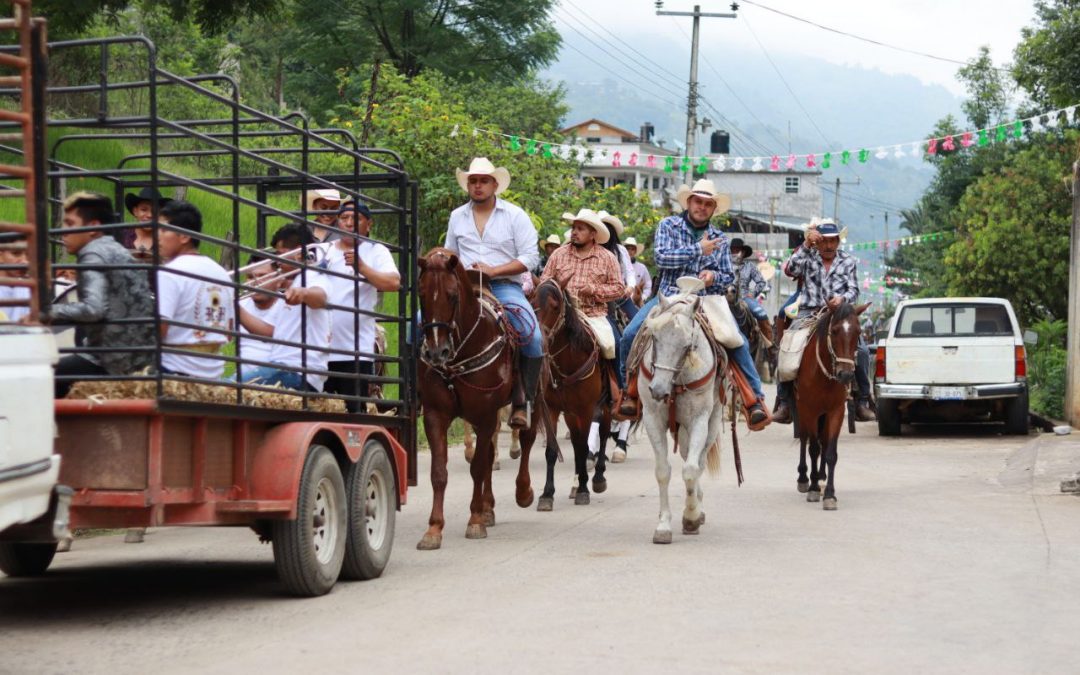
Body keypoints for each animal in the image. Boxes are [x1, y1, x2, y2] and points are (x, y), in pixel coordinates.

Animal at [412, 247, 535, 548]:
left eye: (452, 295)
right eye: (421, 294)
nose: (437, 352)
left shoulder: (487, 413)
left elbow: (478, 467)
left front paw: (475, 521)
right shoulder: (436, 415)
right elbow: (439, 473)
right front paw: (434, 529)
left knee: (527, 440)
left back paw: (523, 492)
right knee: (490, 454)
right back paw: (489, 507)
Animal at [529, 278, 613, 509]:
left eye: (555, 306)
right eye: (531, 301)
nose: (540, 339)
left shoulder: (586, 410)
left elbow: (585, 447)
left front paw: (584, 489)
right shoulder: (553, 409)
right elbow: (552, 450)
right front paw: (547, 494)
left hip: (605, 406)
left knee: (603, 434)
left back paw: (597, 478)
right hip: (570, 414)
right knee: (576, 442)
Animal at [635, 291, 721, 544]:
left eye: (687, 346)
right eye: (654, 338)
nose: (658, 390)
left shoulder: (700, 420)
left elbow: (691, 470)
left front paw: (691, 517)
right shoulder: (652, 418)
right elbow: (663, 471)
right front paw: (663, 526)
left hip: (712, 421)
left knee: (698, 462)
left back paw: (697, 510)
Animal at [794, 302, 876, 507]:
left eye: (858, 331)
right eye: (834, 330)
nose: (845, 375)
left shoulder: (836, 411)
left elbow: (831, 452)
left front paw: (830, 494)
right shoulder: (810, 410)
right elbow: (813, 448)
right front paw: (813, 488)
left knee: (823, 441)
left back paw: (821, 477)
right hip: (802, 409)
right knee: (805, 438)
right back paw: (804, 479)